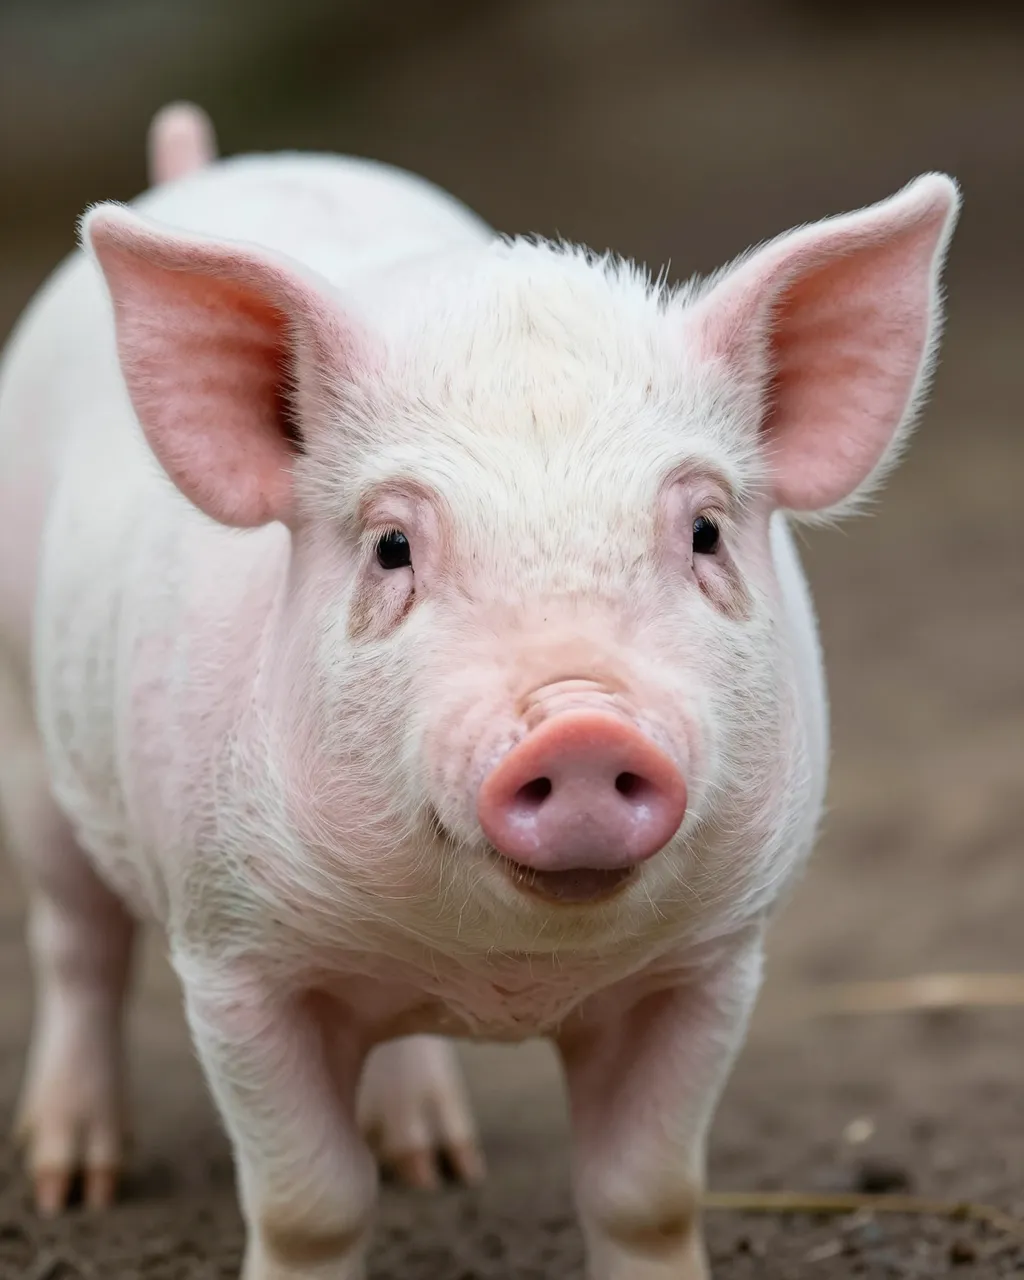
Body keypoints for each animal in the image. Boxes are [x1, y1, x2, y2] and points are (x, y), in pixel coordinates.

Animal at [0, 99, 959, 1280]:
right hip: (31, 734)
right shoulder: (229, 956)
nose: (580, 724)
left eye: (703, 531)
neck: (501, 978)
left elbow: (649, 1190)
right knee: (74, 941)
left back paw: (435, 1159)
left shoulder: (715, 960)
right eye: (392, 545)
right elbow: (308, 1200)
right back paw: (69, 1180)